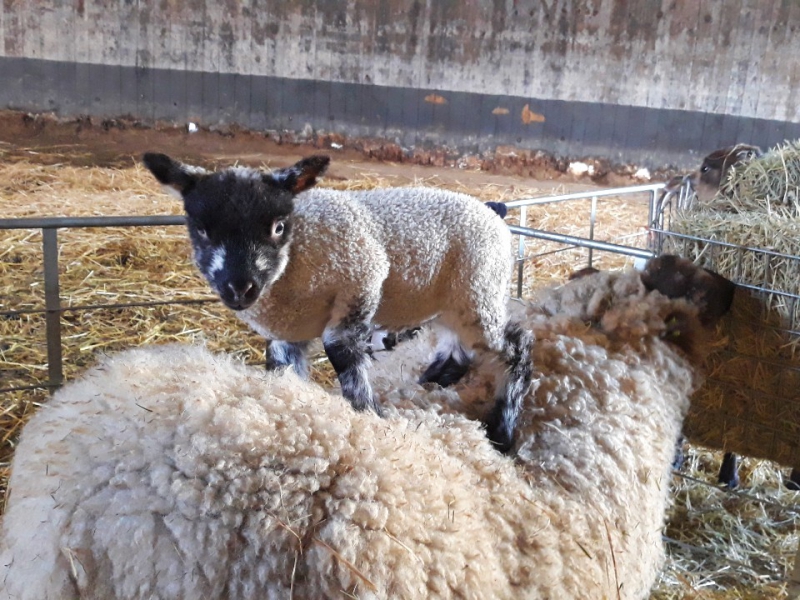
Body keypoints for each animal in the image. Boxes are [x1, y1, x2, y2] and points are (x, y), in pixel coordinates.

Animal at [142, 154, 532, 450]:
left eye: (278, 226)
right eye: (201, 229)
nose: (239, 288)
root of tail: (492, 210)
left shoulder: (363, 279)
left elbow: (343, 354)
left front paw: (368, 413)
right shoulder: (290, 331)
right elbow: (281, 364)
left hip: (480, 289)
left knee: (518, 344)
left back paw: (503, 430)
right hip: (453, 301)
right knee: (459, 345)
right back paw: (433, 380)